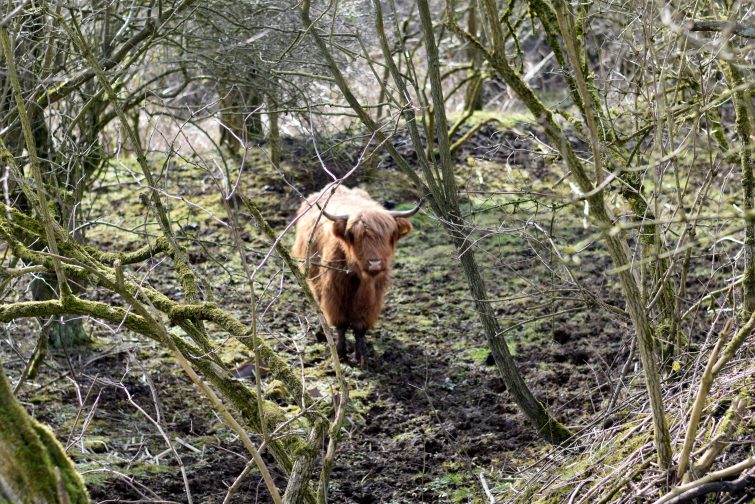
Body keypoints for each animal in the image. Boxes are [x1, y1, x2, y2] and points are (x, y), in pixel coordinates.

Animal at [293, 185, 420, 367]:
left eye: (388, 235)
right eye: (355, 236)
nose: (375, 263)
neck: (362, 281)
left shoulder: (374, 296)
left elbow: (360, 327)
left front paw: (361, 355)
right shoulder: (335, 291)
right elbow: (340, 323)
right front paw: (341, 353)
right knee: (318, 303)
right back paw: (322, 332)